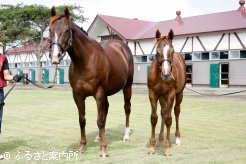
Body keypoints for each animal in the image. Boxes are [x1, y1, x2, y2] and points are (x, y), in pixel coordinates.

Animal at [48, 7, 133, 157]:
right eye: (49, 30)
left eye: (67, 30)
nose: (55, 57)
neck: (85, 61)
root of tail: (122, 46)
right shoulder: (78, 95)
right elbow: (82, 120)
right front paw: (82, 146)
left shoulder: (98, 93)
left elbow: (99, 121)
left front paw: (104, 150)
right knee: (106, 109)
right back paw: (99, 137)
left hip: (127, 86)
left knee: (126, 108)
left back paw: (126, 135)